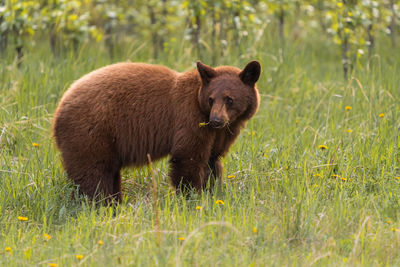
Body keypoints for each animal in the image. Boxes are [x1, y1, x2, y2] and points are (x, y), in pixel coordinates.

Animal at [51, 60, 260, 202]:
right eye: (211, 99)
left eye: (229, 99)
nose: (216, 120)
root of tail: (59, 108)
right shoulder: (189, 118)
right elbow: (188, 158)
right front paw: (192, 197)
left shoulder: (219, 135)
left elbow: (212, 161)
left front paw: (213, 193)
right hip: (90, 133)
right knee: (93, 174)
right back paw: (100, 205)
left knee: (109, 174)